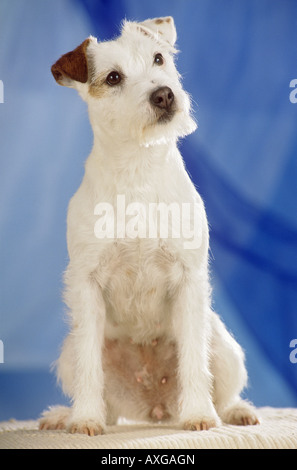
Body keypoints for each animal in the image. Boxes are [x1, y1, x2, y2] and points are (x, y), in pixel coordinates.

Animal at [39, 16, 256, 436]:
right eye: (113, 77)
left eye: (158, 58)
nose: (164, 95)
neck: (138, 168)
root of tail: (153, 407)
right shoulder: (86, 284)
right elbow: (91, 369)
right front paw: (84, 420)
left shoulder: (189, 278)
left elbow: (194, 361)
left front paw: (199, 415)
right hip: (70, 350)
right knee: (104, 400)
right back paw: (67, 415)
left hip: (223, 343)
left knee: (224, 389)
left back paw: (234, 411)